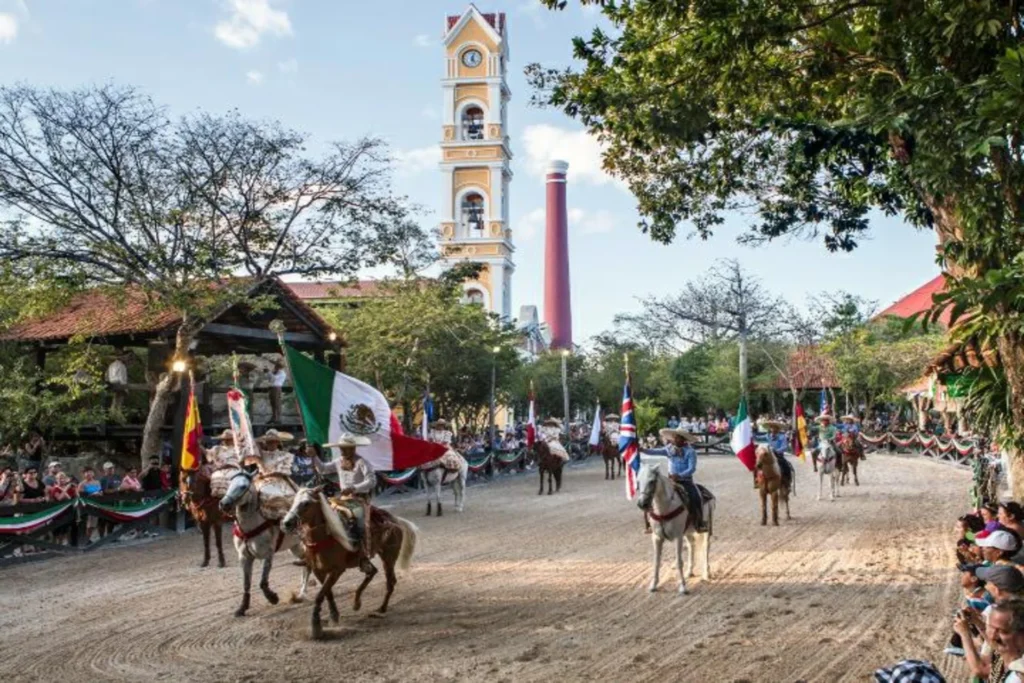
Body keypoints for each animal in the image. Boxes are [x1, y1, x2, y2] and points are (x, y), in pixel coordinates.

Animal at [216, 473, 311, 618]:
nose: (223, 504)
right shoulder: (244, 557)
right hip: (294, 547)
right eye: (229, 484)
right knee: (305, 561)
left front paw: (273, 598)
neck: (249, 529)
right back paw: (301, 592)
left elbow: (262, 582)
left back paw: (303, 592)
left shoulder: (267, 554)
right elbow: (246, 584)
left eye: (243, 486)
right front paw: (242, 608)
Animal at [280, 485, 415, 643]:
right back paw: (357, 603)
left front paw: (316, 626)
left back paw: (381, 609)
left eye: (306, 503)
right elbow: (327, 593)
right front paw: (334, 616)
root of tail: (395, 520)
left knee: (390, 582)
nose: (286, 523)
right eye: (293, 502)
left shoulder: (337, 571)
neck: (324, 538)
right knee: (372, 572)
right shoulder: (318, 571)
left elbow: (320, 595)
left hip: (388, 557)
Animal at [634, 462, 716, 593]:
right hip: (688, 531)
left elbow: (679, 562)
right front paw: (653, 585)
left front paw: (682, 587)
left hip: (706, 529)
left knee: (706, 547)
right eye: (638, 481)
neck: (664, 509)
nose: (642, 504)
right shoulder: (657, 538)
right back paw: (689, 572)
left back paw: (706, 574)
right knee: (691, 545)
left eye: (652, 481)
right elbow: (656, 561)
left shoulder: (678, 537)